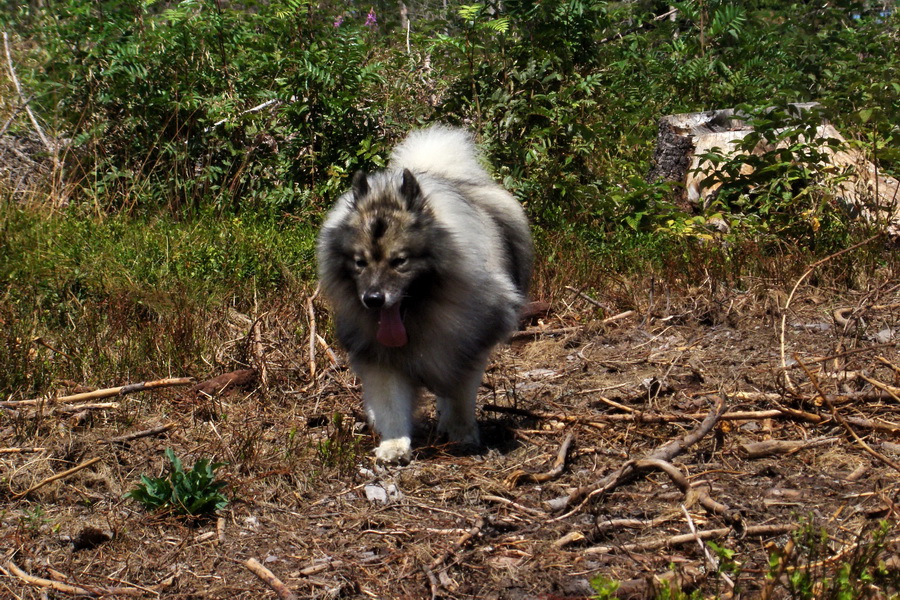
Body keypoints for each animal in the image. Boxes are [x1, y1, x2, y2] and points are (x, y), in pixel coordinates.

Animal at [316, 126, 532, 464]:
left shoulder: (465, 346)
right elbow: (391, 404)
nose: (373, 300)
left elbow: (459, 395)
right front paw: (394, 445)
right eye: (360, 262)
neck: (420, 314)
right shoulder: (380, 356)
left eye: (399, 261)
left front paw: (460, 433)